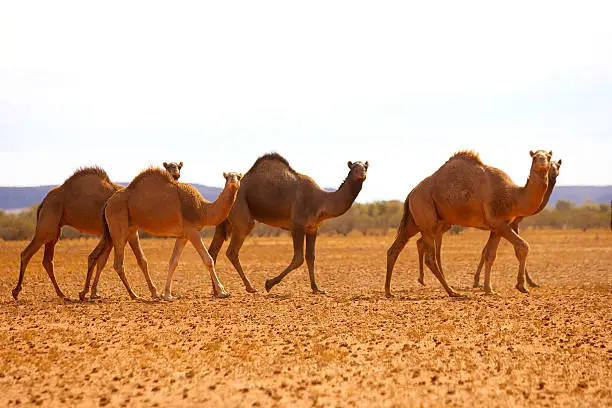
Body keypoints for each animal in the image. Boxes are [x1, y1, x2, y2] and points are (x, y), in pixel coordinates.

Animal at [12, 163, 182, 302]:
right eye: (169, 167)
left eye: (178, 168)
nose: (176, 176)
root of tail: (43, 202)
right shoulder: (128, 232)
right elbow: (137, 259)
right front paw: (154, 293)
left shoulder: (116, 234)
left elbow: (102, 260)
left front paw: (93, 292)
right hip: (47, 225)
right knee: (26, 253)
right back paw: (16, 292)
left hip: (55, 231)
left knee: (48, 260)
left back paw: (61, 293)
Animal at [80, 168, 241, 300]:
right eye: (227, 176)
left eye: (239, 176)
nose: (233, 181)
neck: (203, 209)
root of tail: (107, 203)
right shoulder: (192, 231)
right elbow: (208, 259)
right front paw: (222, 292)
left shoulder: (183, 235)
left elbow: (173, 262)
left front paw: (167, 294)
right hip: (119, 227)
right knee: (118, 263)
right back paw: (134, 295)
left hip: (125, 230)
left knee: (113, 258)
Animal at [208, 152, 368, 294]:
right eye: (354, 168)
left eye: (365, 167)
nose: (362, 174)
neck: (321, 200)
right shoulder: (297, 225)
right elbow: (299, 258)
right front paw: (269, 284)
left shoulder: (313, 228)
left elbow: (311, 257)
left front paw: (317, 288)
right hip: (240, 211)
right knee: (232, 251)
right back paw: (250, 287)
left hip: (225, 219)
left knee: (213, 250)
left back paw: (217, 291)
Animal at [384, 150, 552, 296]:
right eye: (534, 157)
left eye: (549, 156)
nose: (542, 161)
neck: (514, 196)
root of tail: (412, 192)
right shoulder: (500, 223)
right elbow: (523, 246)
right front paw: (522, 287)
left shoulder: (497, 227)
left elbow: (490, 255)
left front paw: (489, 289)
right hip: (426, 216)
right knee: (430, 258)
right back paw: (452, 291)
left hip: (414, 221)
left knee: (395, 249)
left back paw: (389, 291)